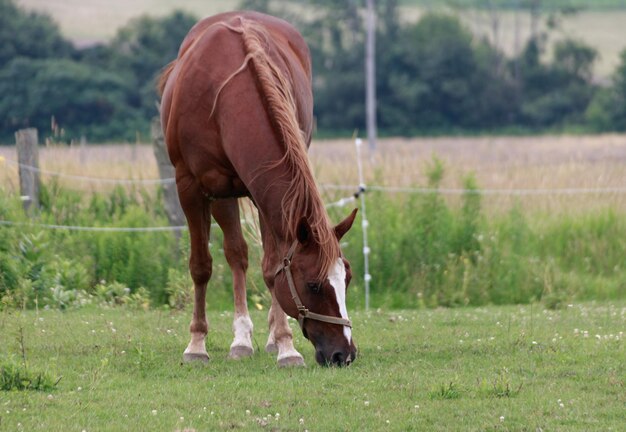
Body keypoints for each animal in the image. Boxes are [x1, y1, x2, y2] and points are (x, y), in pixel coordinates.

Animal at [158, 11, 356, 366]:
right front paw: (196, 344)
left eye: (347, 278)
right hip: (222, 195)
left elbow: (272, 267)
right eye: (313, 285)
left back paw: (267, 339)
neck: (226, 99)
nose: (344, 354)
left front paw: (286, 345)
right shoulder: (192, 187)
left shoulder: (263, 192)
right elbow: (201, 266)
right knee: (236, 254)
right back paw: (240, 340)